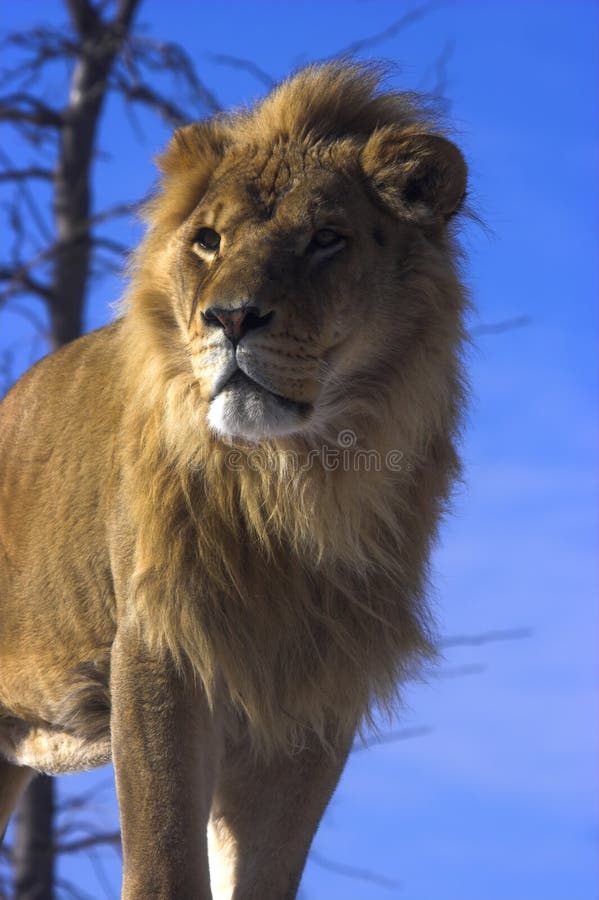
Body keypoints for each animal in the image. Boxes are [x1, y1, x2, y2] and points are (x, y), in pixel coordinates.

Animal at [0, 65, 468, 900]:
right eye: (208, 241)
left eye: (325, 239)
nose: (232, 318)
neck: (294, 484)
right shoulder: (160, 651)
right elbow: (163, 863)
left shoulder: (309, 696)